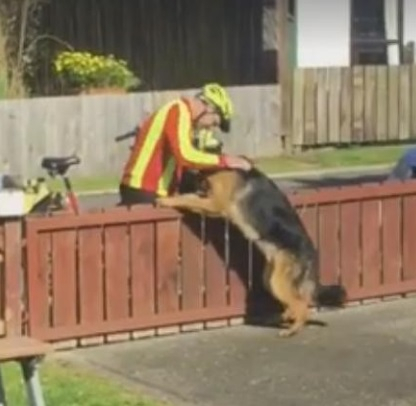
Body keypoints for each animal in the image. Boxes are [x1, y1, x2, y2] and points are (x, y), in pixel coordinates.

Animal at [156, 166, 348, 336]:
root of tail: (311, 253)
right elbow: (188, 197)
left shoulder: (215, 204)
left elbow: (188, 200)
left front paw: (167, 200)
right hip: (270, 280)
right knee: (297, 302)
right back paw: (284, 318)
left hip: (278, 283)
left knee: (301, 305)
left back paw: (292, 330)